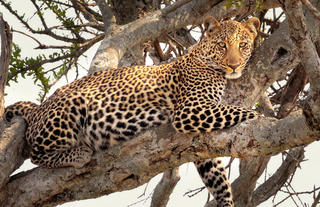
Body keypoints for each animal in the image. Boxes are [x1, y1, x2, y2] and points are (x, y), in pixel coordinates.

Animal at [4, 16, 260, 207]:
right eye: (222, 45)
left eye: (243, 45)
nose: (235, 65)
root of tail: (39, 108)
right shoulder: (189, 110)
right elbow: (241, 111)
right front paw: (263, 117)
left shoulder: (199, 140)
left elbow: (218, 179)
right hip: (70, 106)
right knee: (37, 153)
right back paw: (79, 153)